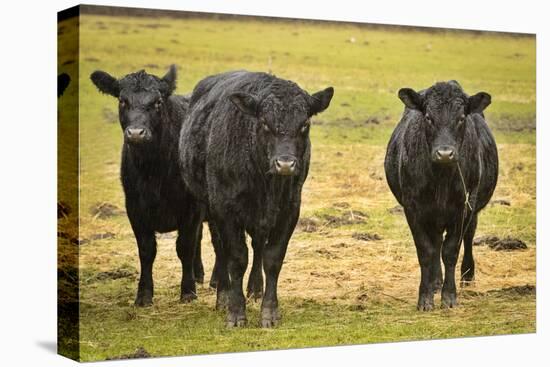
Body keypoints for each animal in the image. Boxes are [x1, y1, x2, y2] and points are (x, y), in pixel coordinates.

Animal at [90, 67, 207, 308]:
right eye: (122, 101)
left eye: (157, 102)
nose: (136, 133)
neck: (154, 171)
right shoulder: (135, 207)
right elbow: (146, 250)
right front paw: (143, 295)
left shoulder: (191, 208)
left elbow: (185, 247)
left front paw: (188, 291)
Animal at [181, 71, 336, 328]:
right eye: (264, 123)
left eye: (304, 124)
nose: (285, 164)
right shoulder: (225, 210)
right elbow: (236, 258)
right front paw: (235, 312)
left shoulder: (289, 210)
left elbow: (272, 258)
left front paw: (269, 312)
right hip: (211, 208)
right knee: (221, 249)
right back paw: (223, 295)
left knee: (257, 246)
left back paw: (255, 288)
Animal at [386, 80, 498, 310]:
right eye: (429, 117)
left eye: (461, 117)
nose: (445, 154)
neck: (441, 179)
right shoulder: (413, 209)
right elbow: (426, 251)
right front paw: (425, 297)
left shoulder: (463, 207)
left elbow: (451, 250)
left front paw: (449, 296)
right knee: (436, 242)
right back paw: (435, 281)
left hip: (472, 208)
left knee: (468, 236)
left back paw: (467, 277)